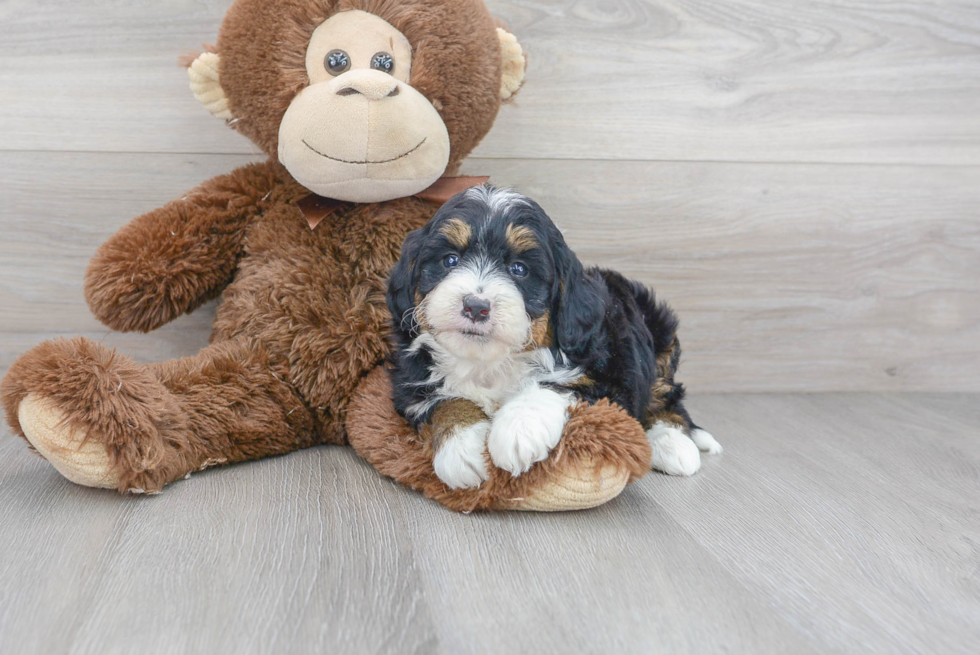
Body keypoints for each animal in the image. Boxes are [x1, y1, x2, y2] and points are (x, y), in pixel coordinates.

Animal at [384, 187, 720, 490]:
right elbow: (445, 400)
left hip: (660, 336)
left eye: (519, 269)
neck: (491, 362)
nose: (476, 306)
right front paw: (463, 448)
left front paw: (518, 430)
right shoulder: (410, 381)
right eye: (450, 260)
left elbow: (555, 385)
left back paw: (674, 443)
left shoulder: (610, 381)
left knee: (667, 397)